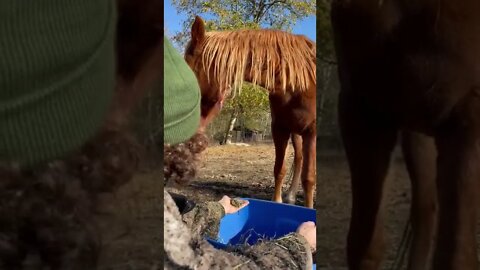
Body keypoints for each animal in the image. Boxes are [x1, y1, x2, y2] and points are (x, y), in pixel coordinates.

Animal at [186, 15, 316, 208]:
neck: (298, 83)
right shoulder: (279, 129)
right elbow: (279, 169)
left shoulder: (311, 132)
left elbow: (309, 179)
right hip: (295, 133)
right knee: (298, 158)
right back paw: (291, 196)